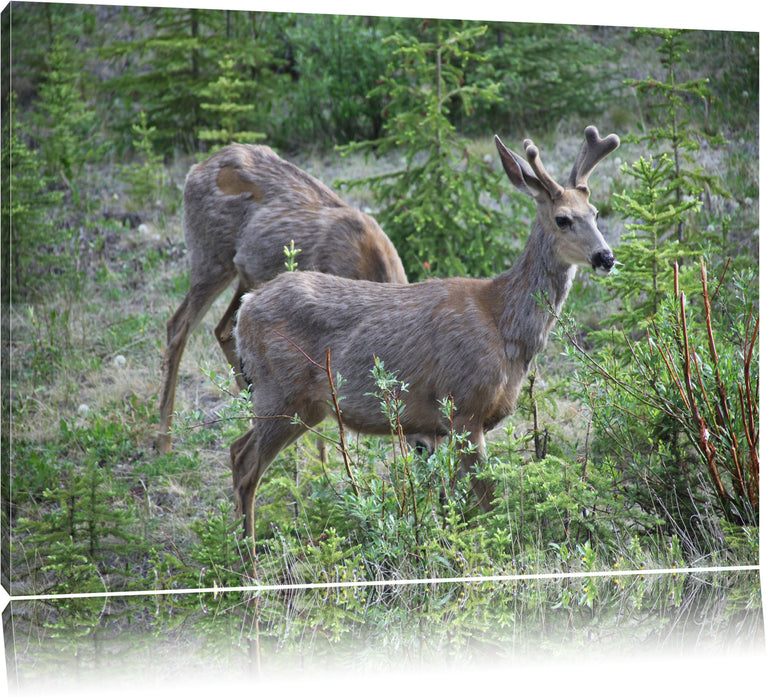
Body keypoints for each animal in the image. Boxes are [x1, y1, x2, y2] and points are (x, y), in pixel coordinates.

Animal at [159, 145, 412, 456]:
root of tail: (196, 168)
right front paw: (324, 459)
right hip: (211, 259)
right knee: (177, 326)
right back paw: (164, 441)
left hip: (247, 277)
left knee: (223, 329)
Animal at [229, 127, 620, 548]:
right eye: (563, 219)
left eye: (595, 214)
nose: (605, 257)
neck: (503, 323)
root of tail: (246, 309)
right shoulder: (463, 407)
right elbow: (488, 499)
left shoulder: (437, 427)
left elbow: (454, 501)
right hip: (281, 392)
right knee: (246, 464)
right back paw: (248, 557)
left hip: (303, 404)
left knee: (236, 449)